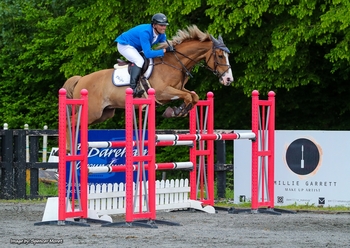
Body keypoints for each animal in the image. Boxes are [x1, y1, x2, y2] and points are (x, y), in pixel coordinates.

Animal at [62, 25, 232, 124]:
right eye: (220, 56)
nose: (229, 79)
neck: (174, 63)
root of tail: (80, 80)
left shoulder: (178, 89)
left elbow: (193, 96)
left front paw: (177, 111)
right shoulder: (163, 92)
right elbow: (189, 96)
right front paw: (176, 111)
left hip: (104, 113)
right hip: (92, 111)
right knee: (73, 122)